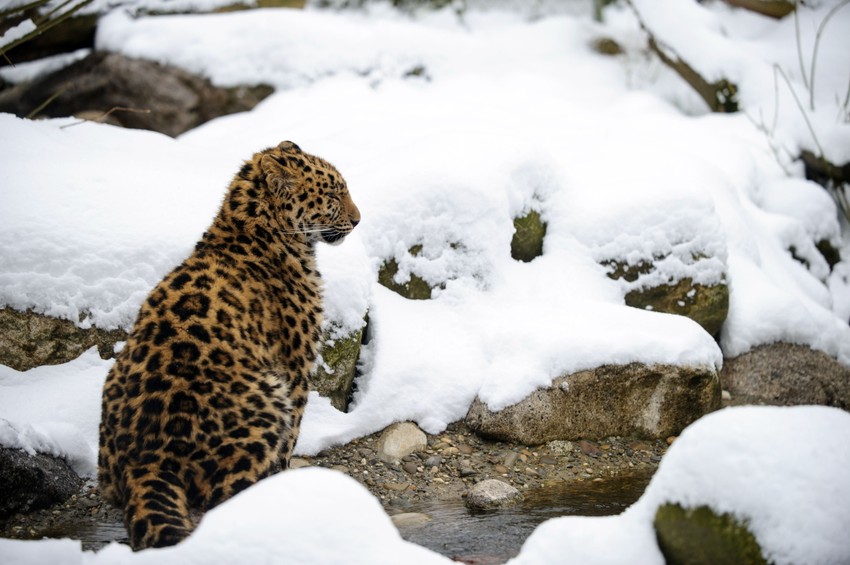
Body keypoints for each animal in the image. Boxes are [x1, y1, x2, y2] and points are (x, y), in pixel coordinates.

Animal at [98, 141, 360, 550]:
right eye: (334, 194)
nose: (359, 219)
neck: (251, 227)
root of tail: (146, 459)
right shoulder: (296, 366)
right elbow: (291, 439)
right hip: (267, 398)